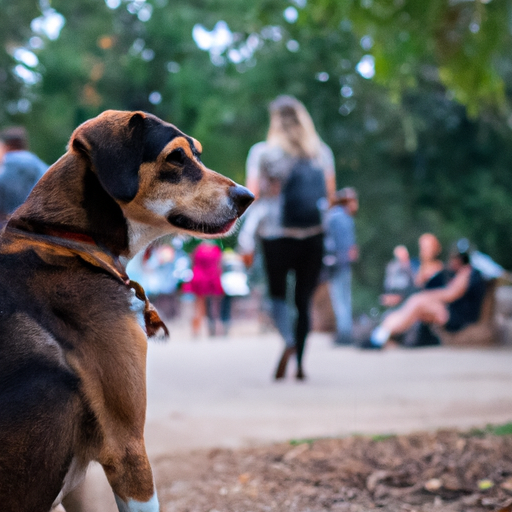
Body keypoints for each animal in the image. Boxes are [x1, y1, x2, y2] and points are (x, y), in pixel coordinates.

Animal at [0, 110, 254, 510]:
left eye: (197, 153)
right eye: (177, 157)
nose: (248, 196)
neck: (68, 240)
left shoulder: (82, 479)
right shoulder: (126, 446)